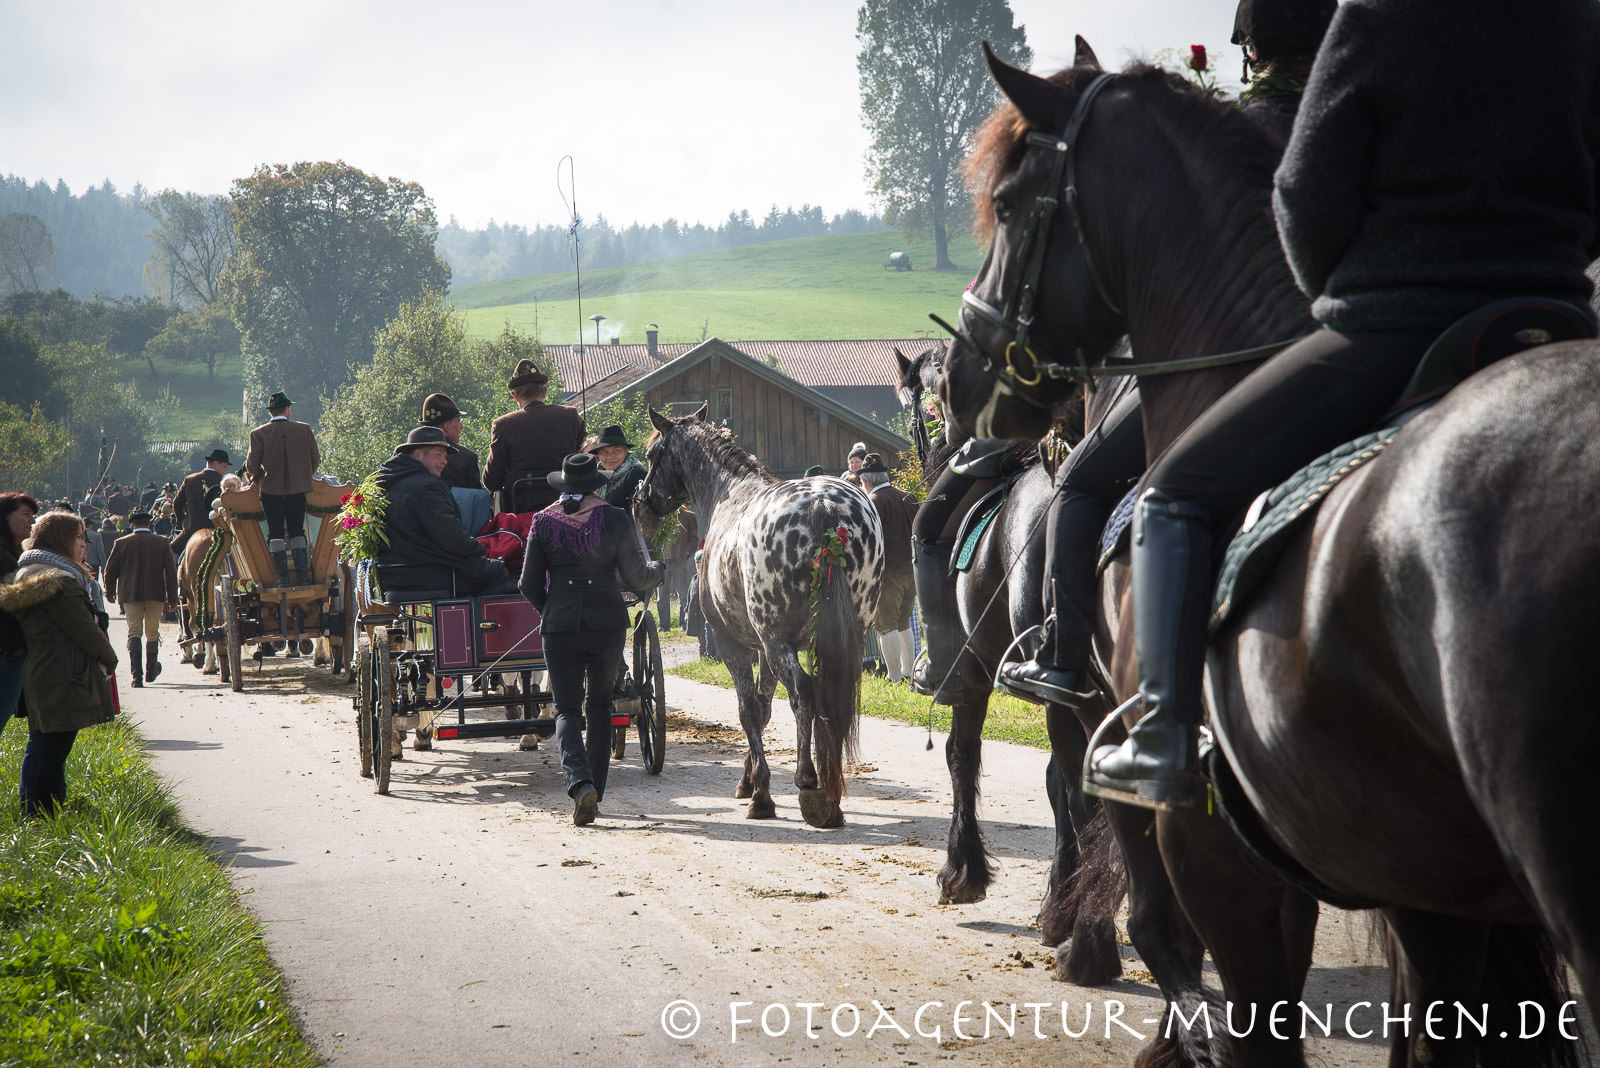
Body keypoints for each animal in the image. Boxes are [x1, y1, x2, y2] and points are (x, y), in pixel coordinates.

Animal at [634, 404, 884, 829]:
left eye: (652, 455)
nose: (640, 502)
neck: (730, 494)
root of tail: (822, 506)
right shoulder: (766, 649)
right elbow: (764, 709)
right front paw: (749, 779)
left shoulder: (735, 644)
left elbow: (749, 709)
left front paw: (761, 793)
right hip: (840, 637)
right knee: (828, 695)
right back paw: (831, 796)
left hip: (776, 640)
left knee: (803, 692)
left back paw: (808, 780)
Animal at [897, 344, 1123, 986]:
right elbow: (1052, 786)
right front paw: (1057, 903)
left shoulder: (974, 680)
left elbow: (961, 757)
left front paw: (963, 873)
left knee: (1093, 798)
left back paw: (1092, 946)